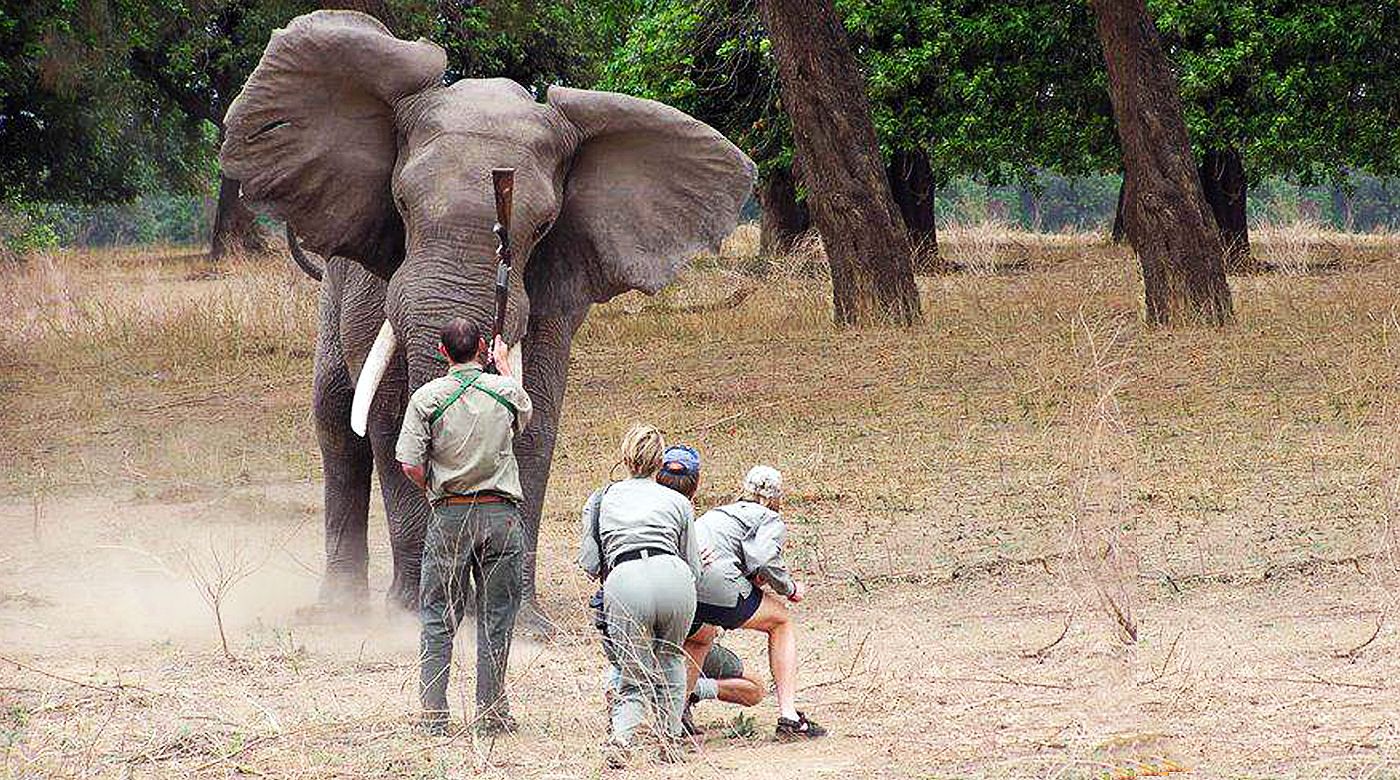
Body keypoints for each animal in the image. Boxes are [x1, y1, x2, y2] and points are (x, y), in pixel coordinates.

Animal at [221, 9, 756, 627]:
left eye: (544, 226)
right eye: (399, 205)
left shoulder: (552, 287)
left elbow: (537, 415)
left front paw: (520, 621)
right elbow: (387, 415)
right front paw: (412, 611)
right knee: (336, 419)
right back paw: (340, 609)